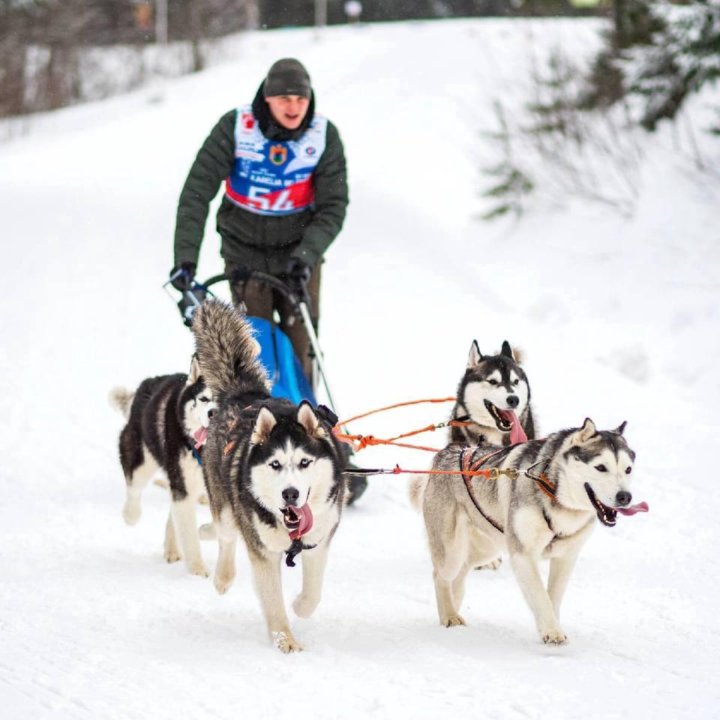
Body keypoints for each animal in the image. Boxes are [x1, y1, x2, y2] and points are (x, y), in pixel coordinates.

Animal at [109, 362, 217, 576]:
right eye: (204, 399)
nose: (212, 413)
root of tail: (150, 381)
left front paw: (205, 531)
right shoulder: (183, 485)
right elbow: (190, 534)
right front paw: (198, 570)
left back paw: (172, 549)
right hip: (142, 459)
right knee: (134, 488)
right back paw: (131, 515)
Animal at [191, 298, 344, 652]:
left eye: (304, 462)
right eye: (275, 464)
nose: (290, 493)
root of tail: (244, 394)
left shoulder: (320, 541)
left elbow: (313, 593)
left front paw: (300, 605)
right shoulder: (263, 552)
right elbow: (272, 600)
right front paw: (284, 639)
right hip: (225, 502)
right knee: (226, 534)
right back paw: (222, 574)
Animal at [420, 420, 644, 644]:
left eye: (628, 469)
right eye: (601, 467)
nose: (625, 496)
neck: (555, 492)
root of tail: (452, 449)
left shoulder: (565, 557)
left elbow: (552, 597)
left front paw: (550, 626)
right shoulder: (523, 555)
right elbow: (540, 595)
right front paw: (552, 632)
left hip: (489, 547)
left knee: (463, 568)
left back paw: (454, 603)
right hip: (452, 550)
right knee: (441, 575)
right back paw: (449, 615)